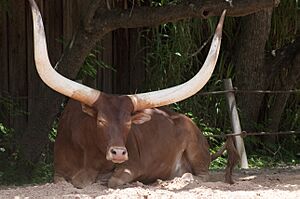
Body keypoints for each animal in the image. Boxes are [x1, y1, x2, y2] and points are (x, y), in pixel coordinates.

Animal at [28, 0, 239, 188]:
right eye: (101, 121)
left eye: (128, 123)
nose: (119, 153)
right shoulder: (58, 172)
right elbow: (68, 180)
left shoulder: (133, 166)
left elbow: (112, 180)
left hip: (197, 153)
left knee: (201, 175)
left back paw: (182, 177)